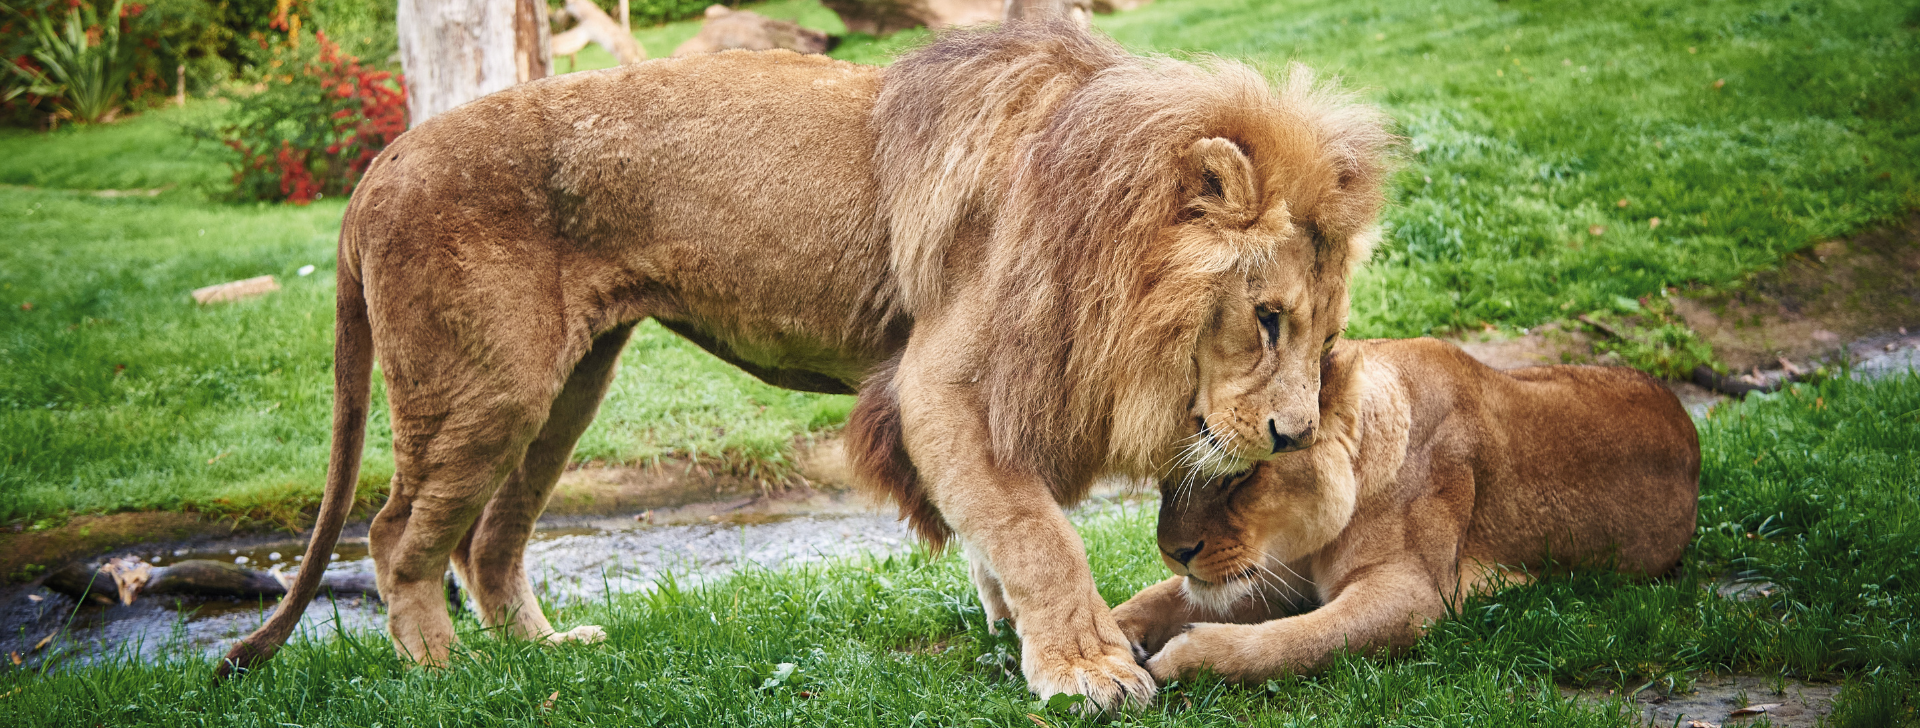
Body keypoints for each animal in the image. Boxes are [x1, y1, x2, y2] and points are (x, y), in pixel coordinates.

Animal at [220, 22, 1397, 714]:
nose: (1293, 434)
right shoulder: (941, 382)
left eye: (1323, 335)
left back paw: (544, 651)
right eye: (1268, 319)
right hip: (486, 385)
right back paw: (445, 673)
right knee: (396, 535)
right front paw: (1088, 667)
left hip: (567, 384)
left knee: (490, 539)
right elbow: (1038, 531)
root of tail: (378, 167)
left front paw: (1012, 627)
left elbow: (995, 528)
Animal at [1113, 338, 1697, 683]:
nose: (1174, 552)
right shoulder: (1278, 570)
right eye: (1167, 474)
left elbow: (1296, 642)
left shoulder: (1412, 593)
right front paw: (1106, 647)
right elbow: (1157, 597)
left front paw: (1185, 657)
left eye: (1241, 473)